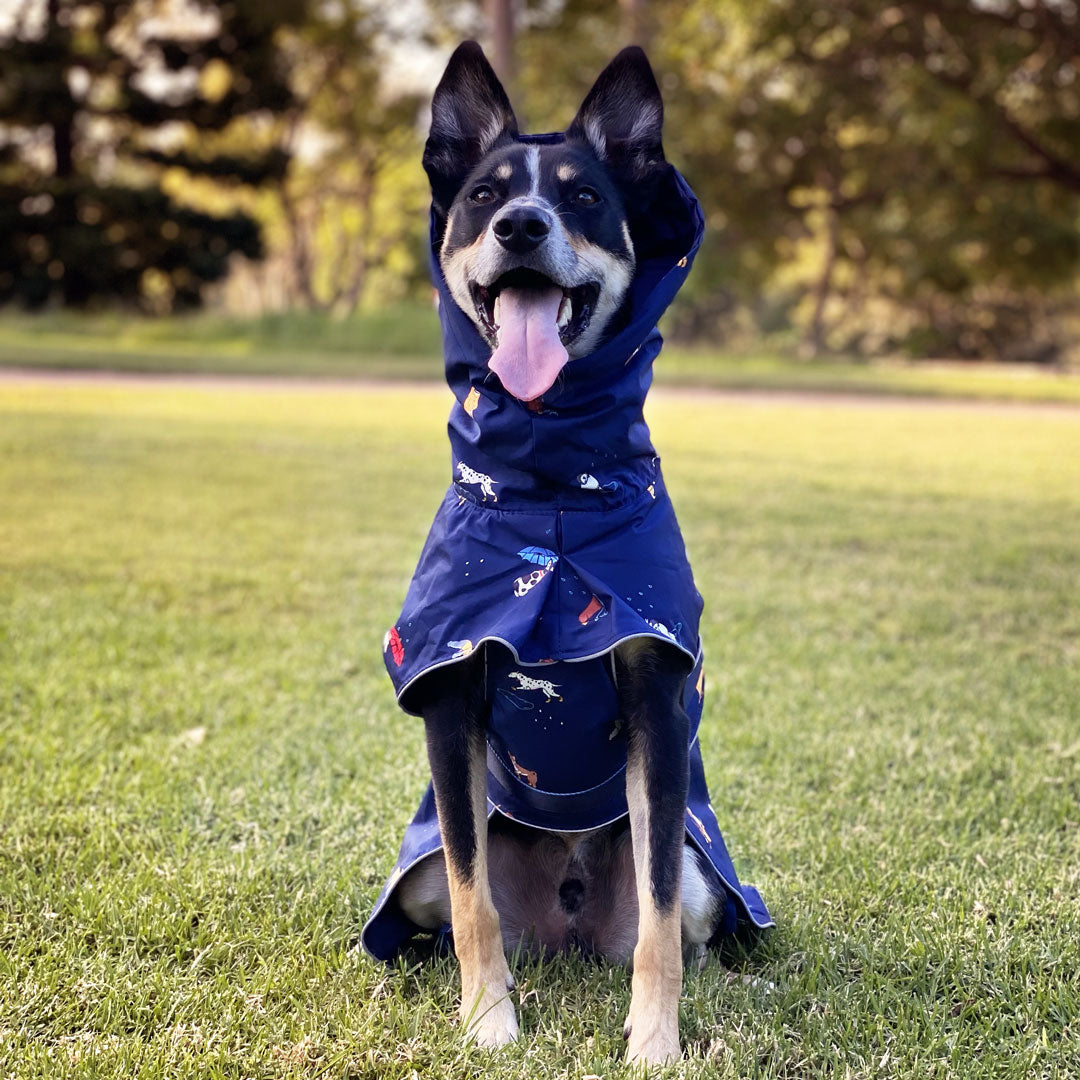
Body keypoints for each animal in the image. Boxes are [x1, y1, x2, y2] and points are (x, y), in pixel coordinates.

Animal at [362, 39, 768, 1062]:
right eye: (482, 195)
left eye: (583, 195)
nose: (520, 225)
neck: (550, 498)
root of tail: (567, 922)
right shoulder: (450, 696)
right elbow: (472, 899)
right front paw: (488, 1024)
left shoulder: (656, 702)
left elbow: (658, 916)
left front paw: (655, 1044)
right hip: (416, 871)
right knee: (458, 901)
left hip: (703, 875)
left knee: (678, 918)